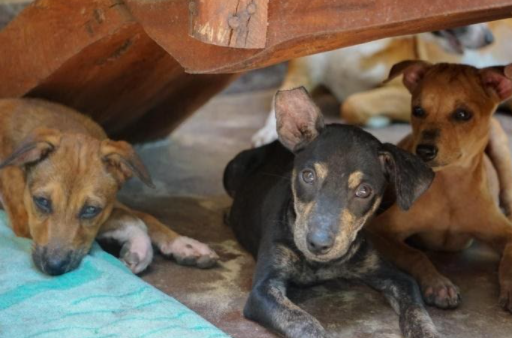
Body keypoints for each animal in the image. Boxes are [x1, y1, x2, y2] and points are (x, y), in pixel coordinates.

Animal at [0, 97, 218, 274]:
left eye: (90, 210)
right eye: (42, 202)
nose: (54, 267)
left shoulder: (109, 203)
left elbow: (144, 215)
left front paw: (183, 244)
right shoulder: (24, 220)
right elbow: (132, 218)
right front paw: (139, 247)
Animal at [224, 88, 440, 338]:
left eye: (364, 191)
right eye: (308, 176)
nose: (318, 244)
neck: (320, 265)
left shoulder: (397, 277)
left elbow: (416, 309)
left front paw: (427, 331)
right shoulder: (263, 289)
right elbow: (303, 321)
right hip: (232, 169)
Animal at [368, 61, 512, 312]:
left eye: (463, 114)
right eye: (418, 110)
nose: (423, 151)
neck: (450, 188)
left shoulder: (505, 232)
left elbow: (510, 258)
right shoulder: (380, 230)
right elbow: (414, 254)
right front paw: (438, 285)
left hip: (501, 146)